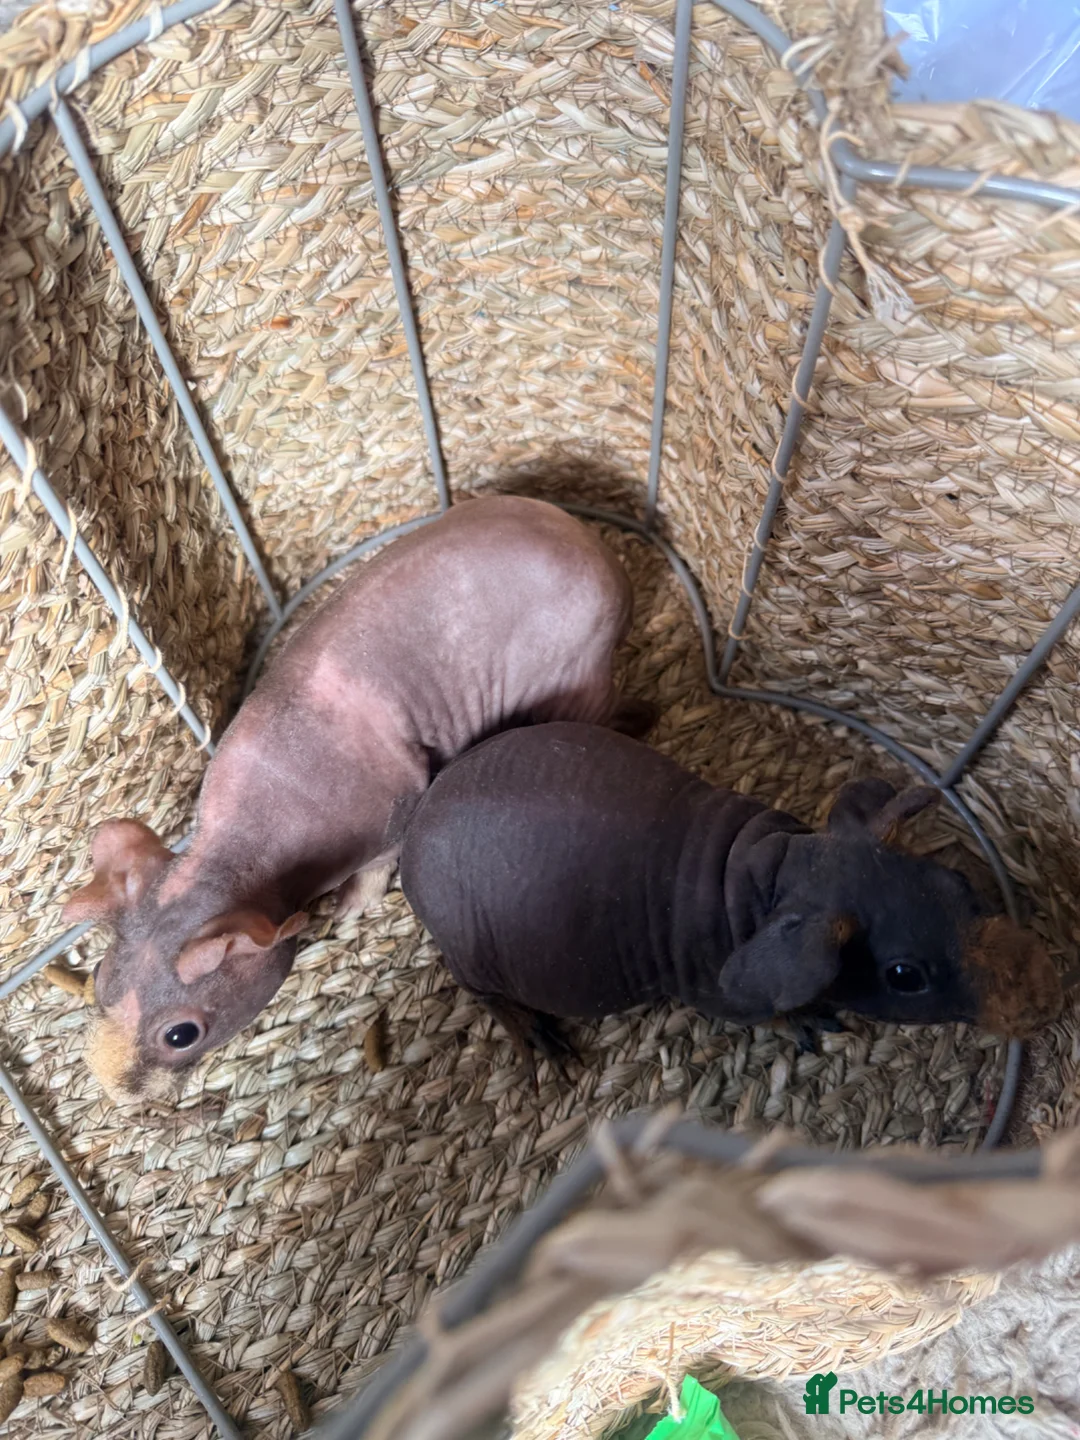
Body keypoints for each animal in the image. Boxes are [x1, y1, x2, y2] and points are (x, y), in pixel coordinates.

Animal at [64, 497, 651, 1101]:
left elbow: (375, 868)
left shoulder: (392, 813)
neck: (238, 844)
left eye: (181, 1035)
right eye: (100, 982)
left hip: (574, 668)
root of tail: (600, 551)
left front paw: (350, 905)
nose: (112, 1089)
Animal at [398, 722, 1062, 1061]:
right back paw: (538, 1039)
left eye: (957, 882)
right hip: (474, 962)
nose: (1046, 997)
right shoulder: (716, 997)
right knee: (481, 993)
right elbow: (771, 1012)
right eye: (905, 976)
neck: (767, 875)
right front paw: (808, 1020)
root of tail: (414, 829)